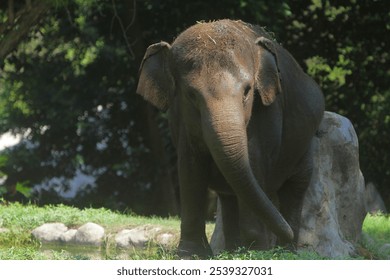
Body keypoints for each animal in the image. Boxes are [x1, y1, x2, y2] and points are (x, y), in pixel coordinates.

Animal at [136, 18, 324, 258]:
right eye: (191, 95)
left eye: (247, 91)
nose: (286, 233)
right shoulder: (181, 121)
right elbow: (190, 169)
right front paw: (191, 255)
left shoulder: (267, 114)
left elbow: (254, 161)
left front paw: (257, 252)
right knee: (229, 196)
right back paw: (236, 250)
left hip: (305, 144)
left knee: (295, 186)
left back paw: (285, 252)